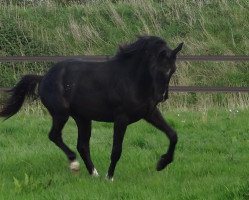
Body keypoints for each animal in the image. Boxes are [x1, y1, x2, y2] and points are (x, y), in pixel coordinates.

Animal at [0, 35, 183, 180]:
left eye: (173, 70)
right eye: (157, 68)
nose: (161, 97)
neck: (131, 79)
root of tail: (44, 77)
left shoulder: (149, 113)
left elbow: (173, 135)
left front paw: (162, 163)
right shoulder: (121, 118)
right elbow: (116, 149)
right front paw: (110, 177)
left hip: (83, 118)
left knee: (82, 145)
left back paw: (94, 173)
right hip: (61, 114)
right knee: (54, 136)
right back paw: (74, 164)